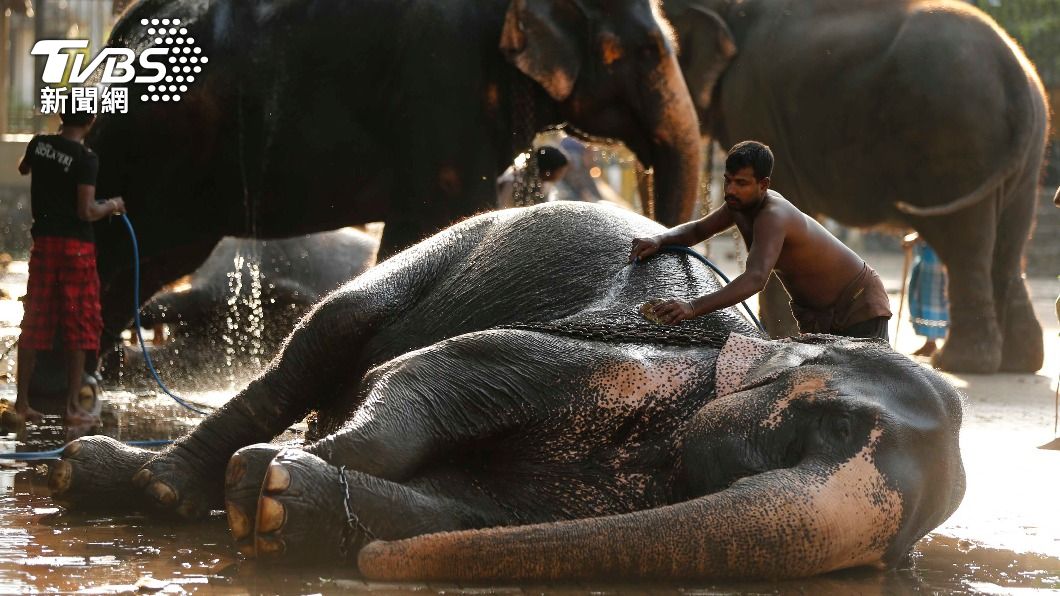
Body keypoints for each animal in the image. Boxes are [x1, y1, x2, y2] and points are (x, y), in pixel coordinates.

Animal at [49, 202, 966, 582]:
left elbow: (464, 512)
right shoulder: (613, 356)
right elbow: (436, 372)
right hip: (440, 248)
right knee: (328, 337)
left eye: (895, 554)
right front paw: (269, 469)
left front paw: (278, 496)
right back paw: (140, 482)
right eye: (833, 426)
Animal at [662, 0, 1048, 374]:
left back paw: (960, 364)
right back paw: (1018, 363)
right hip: (1024, 154)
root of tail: (1014, 69)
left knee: (965, 241)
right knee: (1010, 243)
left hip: (953, 141)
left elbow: (760, 266)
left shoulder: (752, 102)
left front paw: (773, 337)